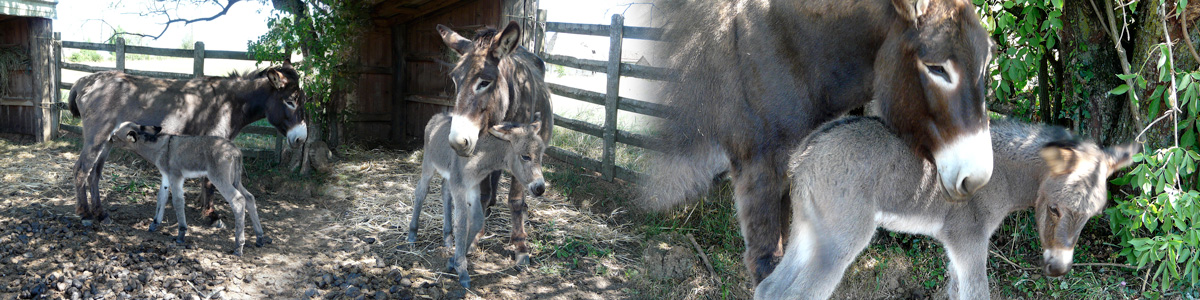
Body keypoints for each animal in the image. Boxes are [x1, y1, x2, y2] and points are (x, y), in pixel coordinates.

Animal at [106, 121, 272, 255]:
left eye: (114, 137)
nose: (107, 141)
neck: (160, 147)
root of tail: (235, 150)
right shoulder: (165, 176)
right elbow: (161, 198)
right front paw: (154, 224)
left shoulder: (176, 177)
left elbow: (177, 202)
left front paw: (181, 234)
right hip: (234, 179)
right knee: (249, 197)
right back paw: (259, 237)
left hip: (219, 178)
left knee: (237, 200)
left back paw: (239, 246)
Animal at [408, 112, 549, 288]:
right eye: (525, 156)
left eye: (541, 157)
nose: (540, 188)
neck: (479, 158)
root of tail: (439, 115)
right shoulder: (460, 187)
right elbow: (462, 223)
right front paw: (461, 269)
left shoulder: (473, 187)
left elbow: (476, 220)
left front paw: (453, 260)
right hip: (429, 163)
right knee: (421, 191)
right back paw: (412, 234)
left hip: (449, 176)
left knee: (445, 192)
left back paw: (447, 237)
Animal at [753, 117, 1137, 300]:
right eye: (1055, 209)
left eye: (1091, 216)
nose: (1058, 269)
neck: (1001, 173)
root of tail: (805, 154)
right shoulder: (970, 239)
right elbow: (978, 293)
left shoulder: (956, 246)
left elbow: (956, 292)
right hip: (841, 239)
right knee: (800, 294)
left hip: (808, 230)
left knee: (770, 290)